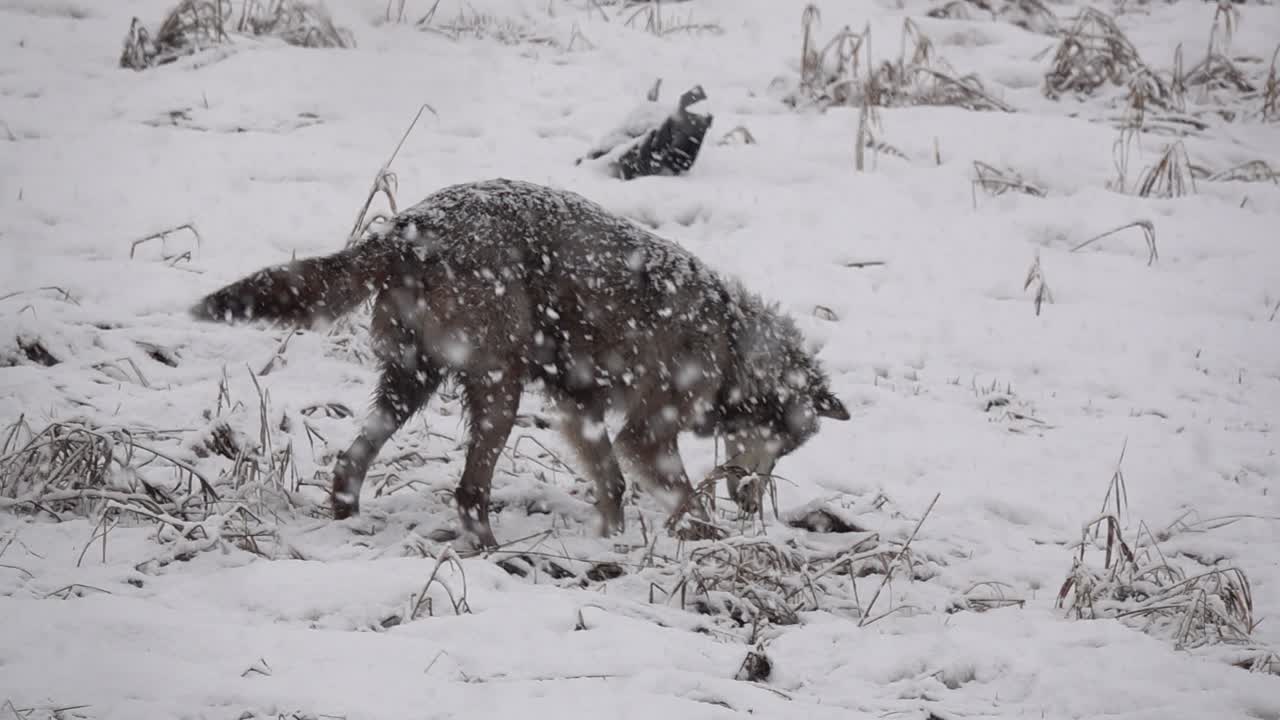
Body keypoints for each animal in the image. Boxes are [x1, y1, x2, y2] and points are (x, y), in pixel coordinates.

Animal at [190, 178, 849, 548]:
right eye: (783, 447)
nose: (754, 505)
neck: (733, 344)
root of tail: (406, 229)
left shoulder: (580, 412)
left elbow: (612, 486)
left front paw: (607, 546)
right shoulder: (645, 437)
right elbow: (690, 502)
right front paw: (713, 544)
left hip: (412, 386)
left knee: (351, 462)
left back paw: (348, 523)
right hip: (497, 394)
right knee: (466, 491)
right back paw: (489, 551)